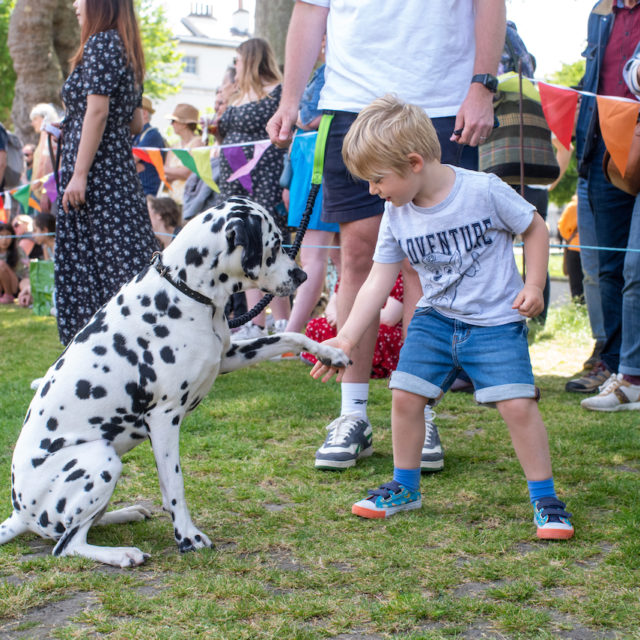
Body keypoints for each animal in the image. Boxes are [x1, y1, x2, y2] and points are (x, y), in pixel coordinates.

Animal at [0, 198, 350, 568]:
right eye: (274, 243)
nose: (302, 275)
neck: (187, 291)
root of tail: (18, 514)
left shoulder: (228, 356)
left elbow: (290, 336)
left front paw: (330, 353)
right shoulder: (164, 418)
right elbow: (174, 486)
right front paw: (188, 537)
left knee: (83, 526)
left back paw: (125, 514)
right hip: (102, 459)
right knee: (66, 544)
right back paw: (122, 554)